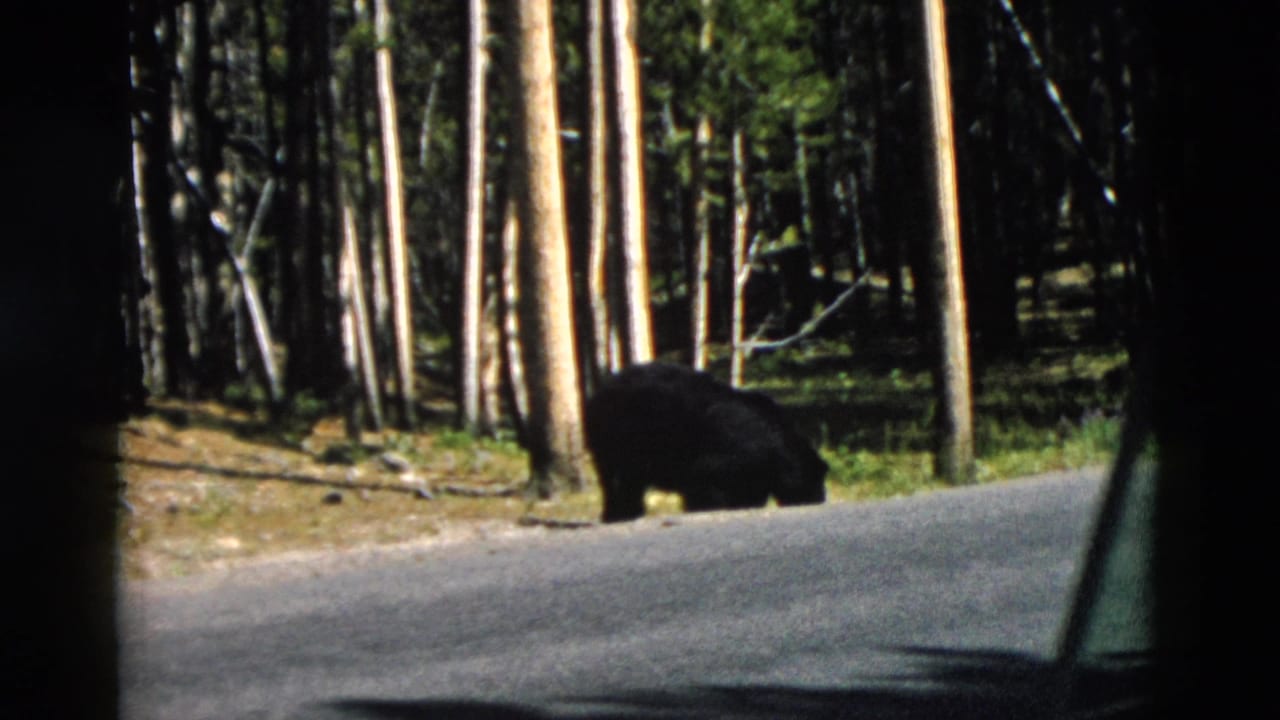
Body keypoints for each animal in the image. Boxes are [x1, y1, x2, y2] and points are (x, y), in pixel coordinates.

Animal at [584, 362, 828, 522]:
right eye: (816, 481)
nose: (820, 499)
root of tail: (598, 392)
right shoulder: (726, 451)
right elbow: (706, 482)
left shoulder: (754, 467)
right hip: (617, 438)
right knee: (617, 480)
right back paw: (619, 514)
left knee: (626, 481)